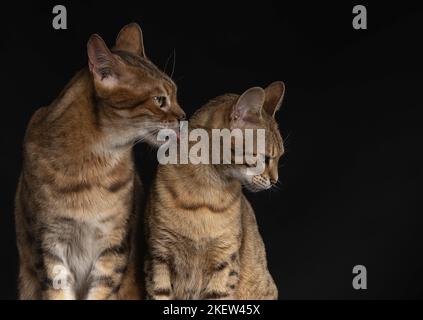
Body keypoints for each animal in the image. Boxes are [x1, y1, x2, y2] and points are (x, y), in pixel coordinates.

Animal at [14, 23, 186, 300]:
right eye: (160, 100)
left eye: (176, 94)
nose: (183, 116)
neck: (89, 166)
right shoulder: (48, 244)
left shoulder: (113, 245)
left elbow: (102, 289)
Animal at [144, 81, 286, 298]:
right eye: (265, 158)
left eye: (280, 157)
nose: (274, 180)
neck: (206, 192)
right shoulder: (158, 255)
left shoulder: (225, 261)